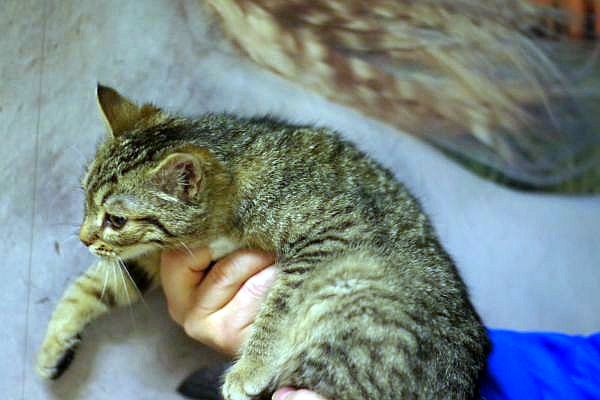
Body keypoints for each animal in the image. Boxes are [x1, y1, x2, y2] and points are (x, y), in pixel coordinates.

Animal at [37, 84, 489, 399]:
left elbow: (281, 304)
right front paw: (53, 346)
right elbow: (93, 285)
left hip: (356, 286)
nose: (83, 238)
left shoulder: (332, 234)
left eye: (116, 220)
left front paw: (250, 367)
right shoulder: (152, 258)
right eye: (84, 197)